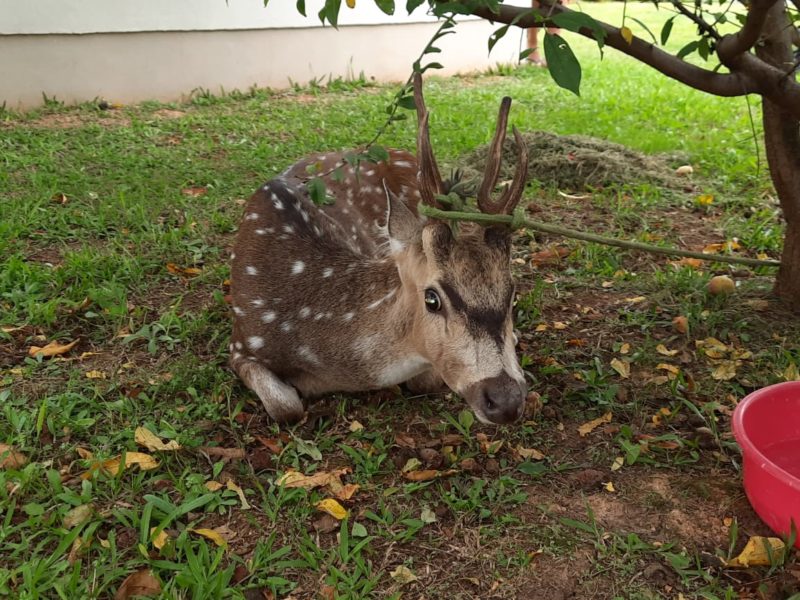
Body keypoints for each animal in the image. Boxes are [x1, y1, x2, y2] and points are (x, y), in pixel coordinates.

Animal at [229, 74, 529, 425]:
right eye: (432, 298)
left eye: (511, 293)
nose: (506, 400)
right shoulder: (242, 343)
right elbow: (285, 407)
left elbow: (425, 380)